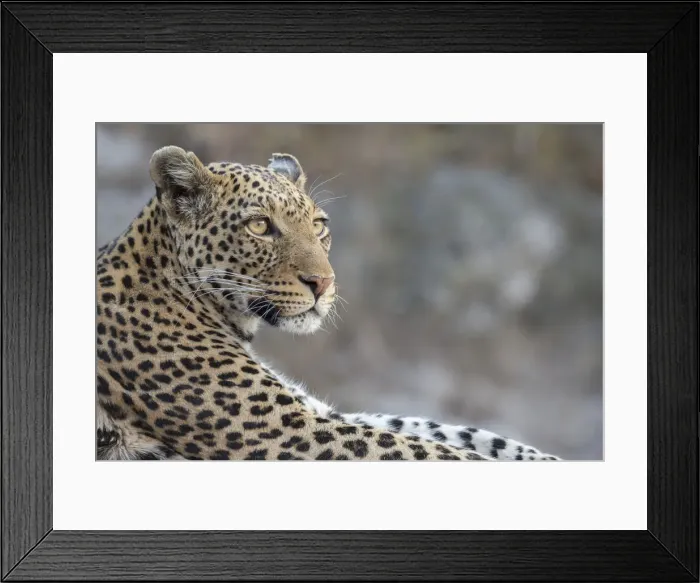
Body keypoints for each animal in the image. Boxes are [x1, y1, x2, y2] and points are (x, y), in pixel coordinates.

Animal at [96, 145, 561, 461]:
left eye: (319, 225)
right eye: (259, 226)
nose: (323, 283)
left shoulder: (315, 411)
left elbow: (442, 431)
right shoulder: (292, 431)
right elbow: (426, 448)